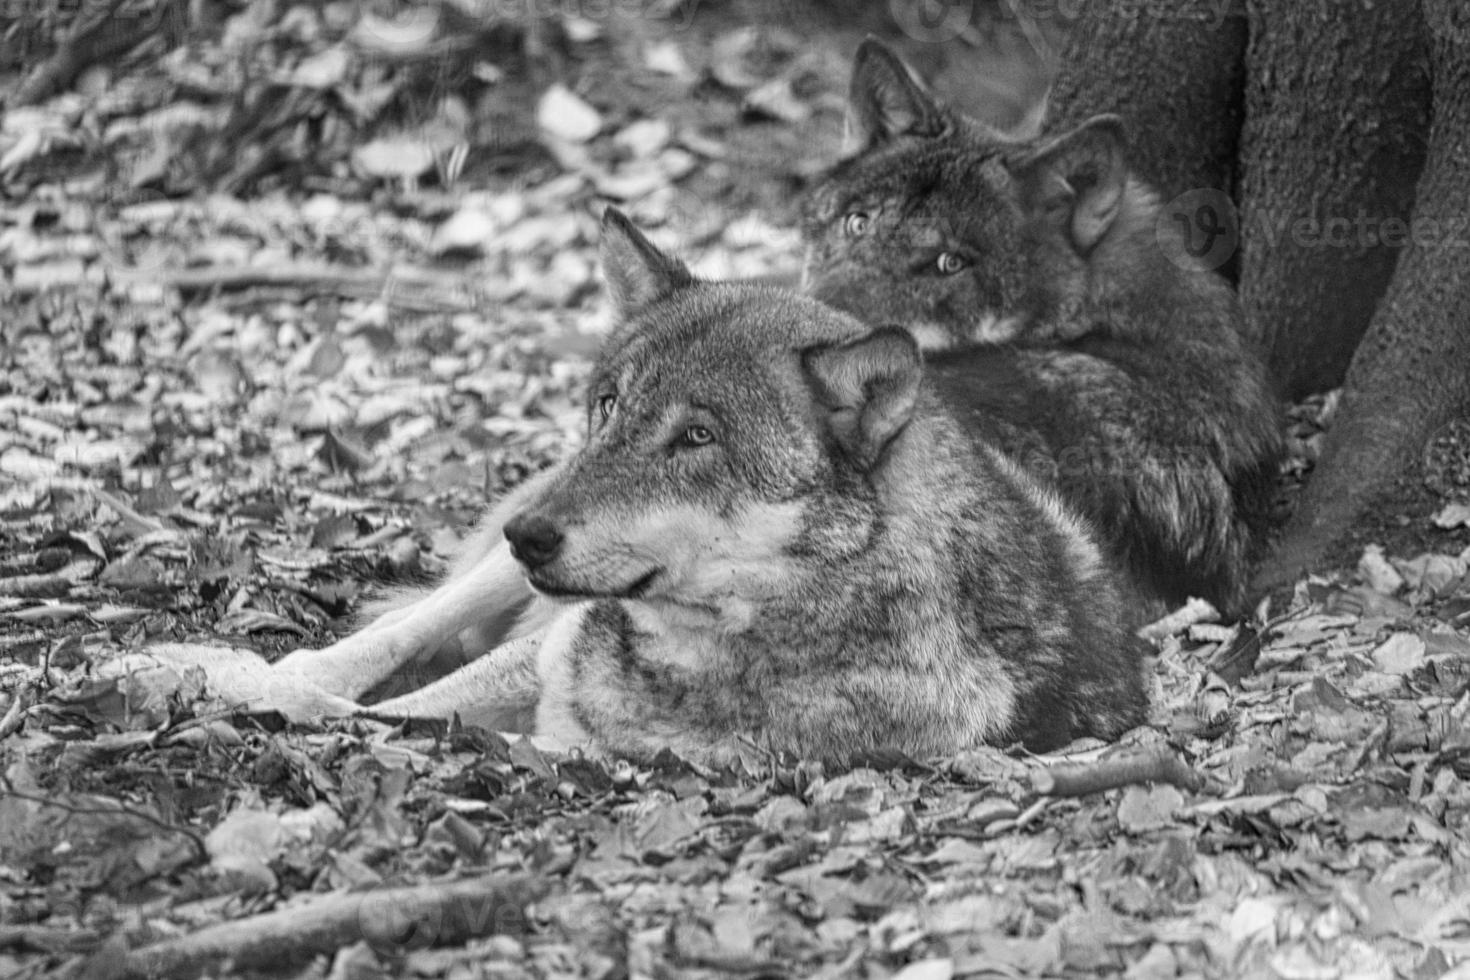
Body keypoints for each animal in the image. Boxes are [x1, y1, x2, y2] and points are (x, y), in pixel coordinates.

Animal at [270, 213, 1152, 764]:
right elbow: (356, 693)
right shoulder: (547, 643)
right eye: (609, 405)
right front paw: (247, 676)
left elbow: (374, 715)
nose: (532, 537)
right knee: (402, 627)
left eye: (698, 438)